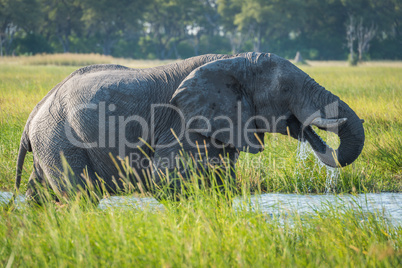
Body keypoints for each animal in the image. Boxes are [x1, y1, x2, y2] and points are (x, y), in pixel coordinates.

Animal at [13, 52, 364, 202]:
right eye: (286, 90)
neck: (233, 60)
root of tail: (33, 114)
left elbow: (221, 180)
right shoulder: (181, 121)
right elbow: (169, 177)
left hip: (50, 142)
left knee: (41, 194)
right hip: (60, 140)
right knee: (79, 194)